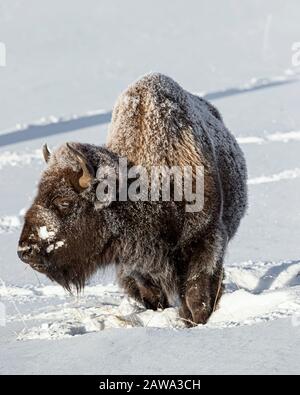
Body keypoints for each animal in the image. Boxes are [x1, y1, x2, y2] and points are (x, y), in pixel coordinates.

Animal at [18, 72, 246, 326]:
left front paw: (195, 321)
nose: (25, 250)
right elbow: (153, 295)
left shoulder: (205, 239)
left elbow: (197, 294)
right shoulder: (134, 262)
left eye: (65, 202)